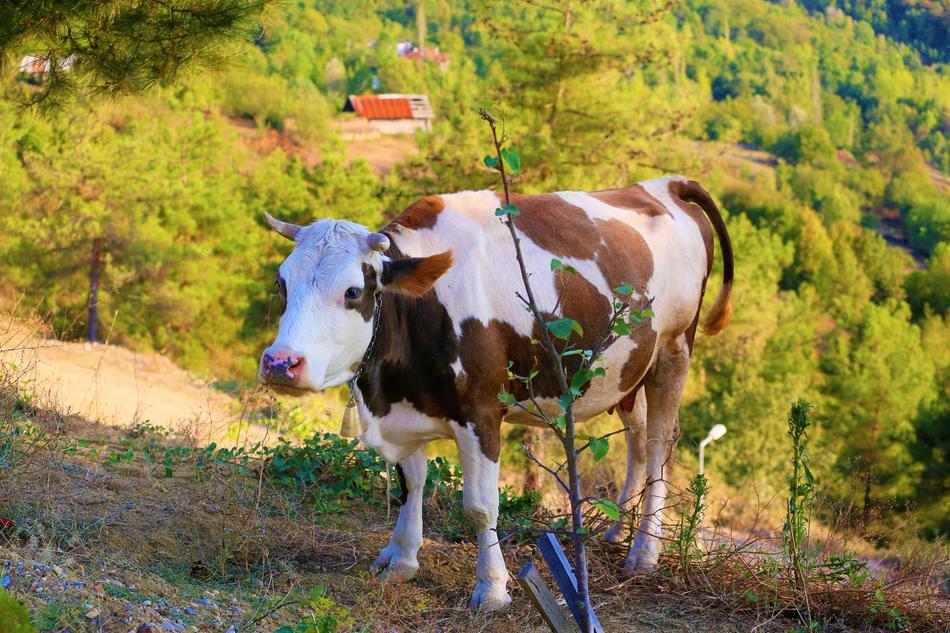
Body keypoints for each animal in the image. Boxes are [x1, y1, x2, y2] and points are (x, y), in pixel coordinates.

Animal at [258, 176, 733, 611]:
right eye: (282, 284)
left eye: (353, 291)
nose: (281, 363)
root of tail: (662, 184)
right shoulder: (407, 406)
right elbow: (412, 481)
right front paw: (402, 559)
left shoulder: (481, 411)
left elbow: (481, 506)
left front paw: (492, 589)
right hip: (625, 370)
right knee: (636, 438)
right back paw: (617, 532)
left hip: (673, 350)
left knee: (658, 445)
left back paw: (644, 552)